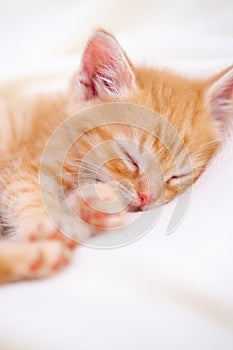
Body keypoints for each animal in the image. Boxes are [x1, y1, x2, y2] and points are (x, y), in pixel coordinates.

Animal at [0, 28, 232, 284]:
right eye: (130, 158)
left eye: (176, 176)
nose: (146, 198)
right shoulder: (24, 162)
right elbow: (27, 188)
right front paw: (51, 222)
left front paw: (94, 208)